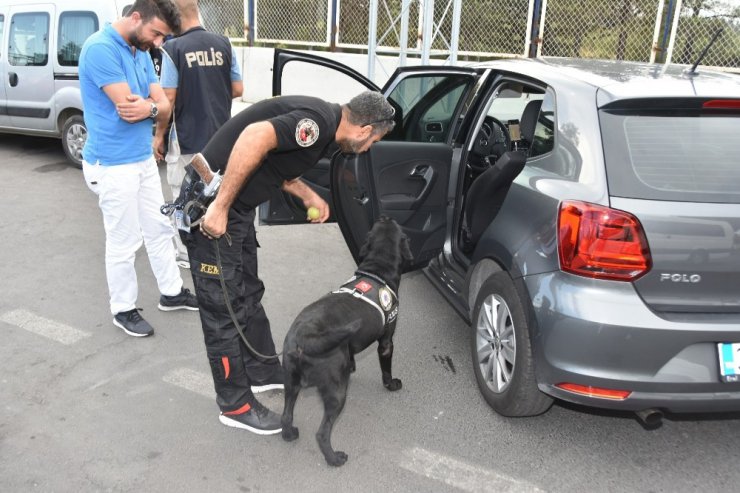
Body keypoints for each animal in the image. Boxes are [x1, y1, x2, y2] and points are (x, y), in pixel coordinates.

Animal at [282, 216, 414, 466]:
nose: (385, 216)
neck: (376, 271)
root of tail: (304, 336)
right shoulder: (386, 343)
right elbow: (386, 370)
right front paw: (391, 384)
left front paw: (352, 365)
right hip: (336, 393)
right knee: (322, 433)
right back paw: (334, 458)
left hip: (290, 384)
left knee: (286, 415)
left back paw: (289, 433)